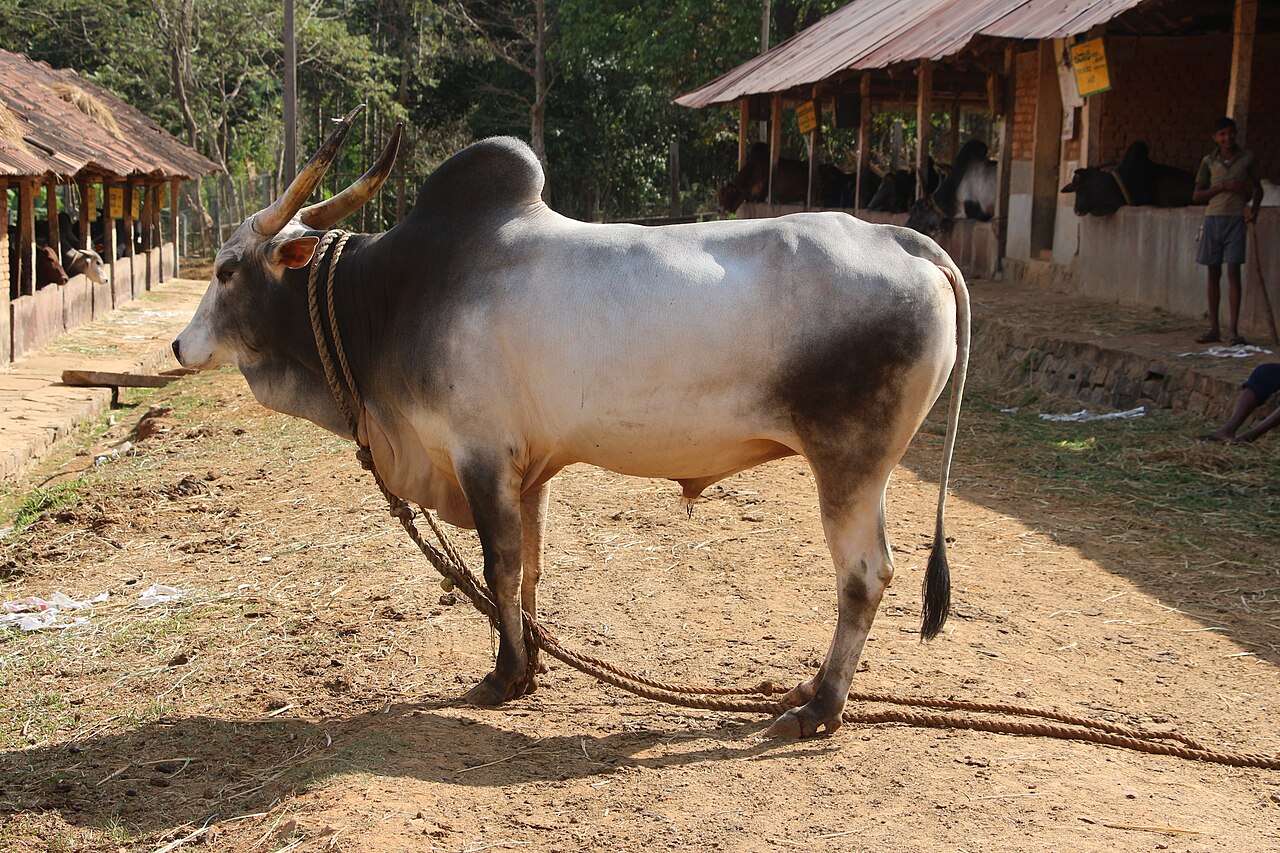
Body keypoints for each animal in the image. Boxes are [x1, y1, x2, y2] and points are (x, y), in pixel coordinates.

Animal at [172, 108, 971, 737]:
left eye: (225, 269)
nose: (180, 346)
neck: (391, 296)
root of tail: (904, 241)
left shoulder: (481, 454)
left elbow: (498, 564)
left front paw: (504, 675)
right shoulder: (529, 470)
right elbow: (529, 565)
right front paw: (531, 662)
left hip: (850, 464)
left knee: (866, 575)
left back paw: (821, 705)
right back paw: (808, 689)